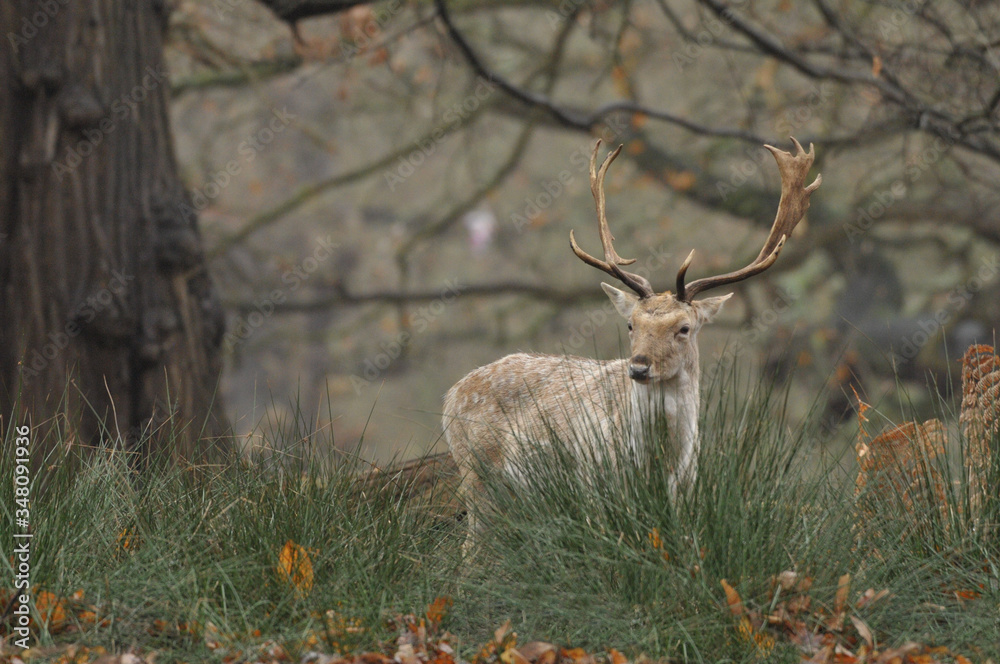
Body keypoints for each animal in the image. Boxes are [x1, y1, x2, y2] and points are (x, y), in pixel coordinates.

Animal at [443, 138, 821, 545]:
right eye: (630, 325)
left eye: (684, 328)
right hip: (476, 474)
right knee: (470, 549)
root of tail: (452, 394)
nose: (638, 367)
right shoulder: (596, 486)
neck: (661, 462)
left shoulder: (685, 490)